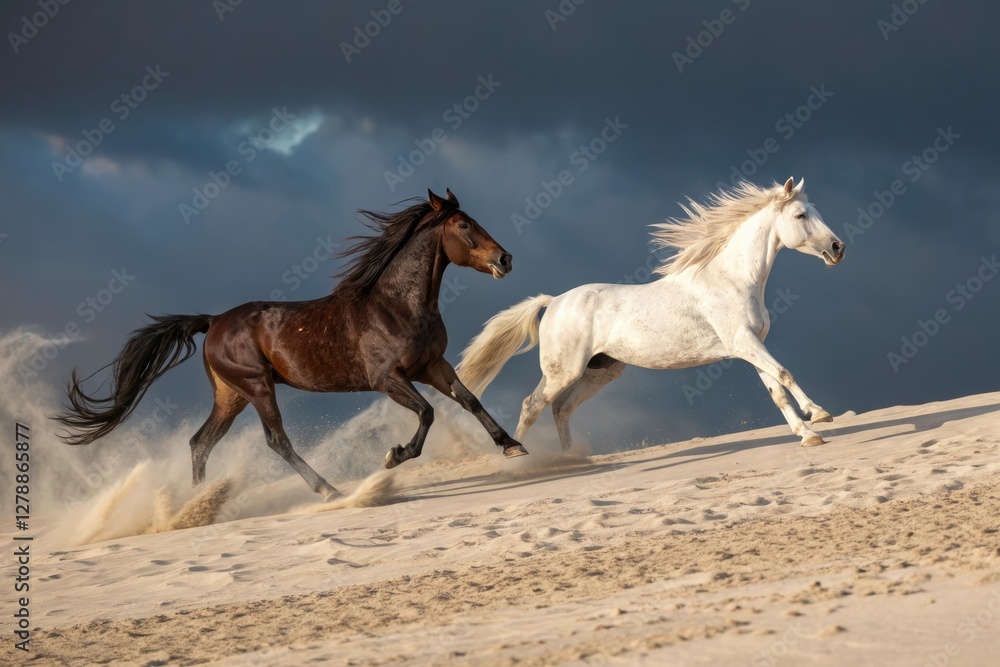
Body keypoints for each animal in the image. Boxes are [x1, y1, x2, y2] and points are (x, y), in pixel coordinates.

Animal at [56, 189, 529, 500]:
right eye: (464, 224)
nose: (505, 259)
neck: (397, 304)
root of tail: (213, 322)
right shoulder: (388, 379)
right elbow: (428, 412)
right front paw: (394, 456)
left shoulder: (432, 367)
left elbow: (469, 399)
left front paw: (512, 445)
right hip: (258, 388)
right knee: (275, 442)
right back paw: (327, 489)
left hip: (231, 396)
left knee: (200, 443)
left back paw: (196, 505)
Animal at [457, 178, 845, 451]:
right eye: (800, 216)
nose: (838, 248)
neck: (732, 277)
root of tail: (553, 302)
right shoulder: (744, 343)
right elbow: (785, 374)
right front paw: (820, 415)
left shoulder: (751, 347)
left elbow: (776, 389)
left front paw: (807, 434)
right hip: (562, 372)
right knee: (532, 406)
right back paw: (521, 461)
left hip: (600, 372)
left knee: (560, 410)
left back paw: (570, 460)